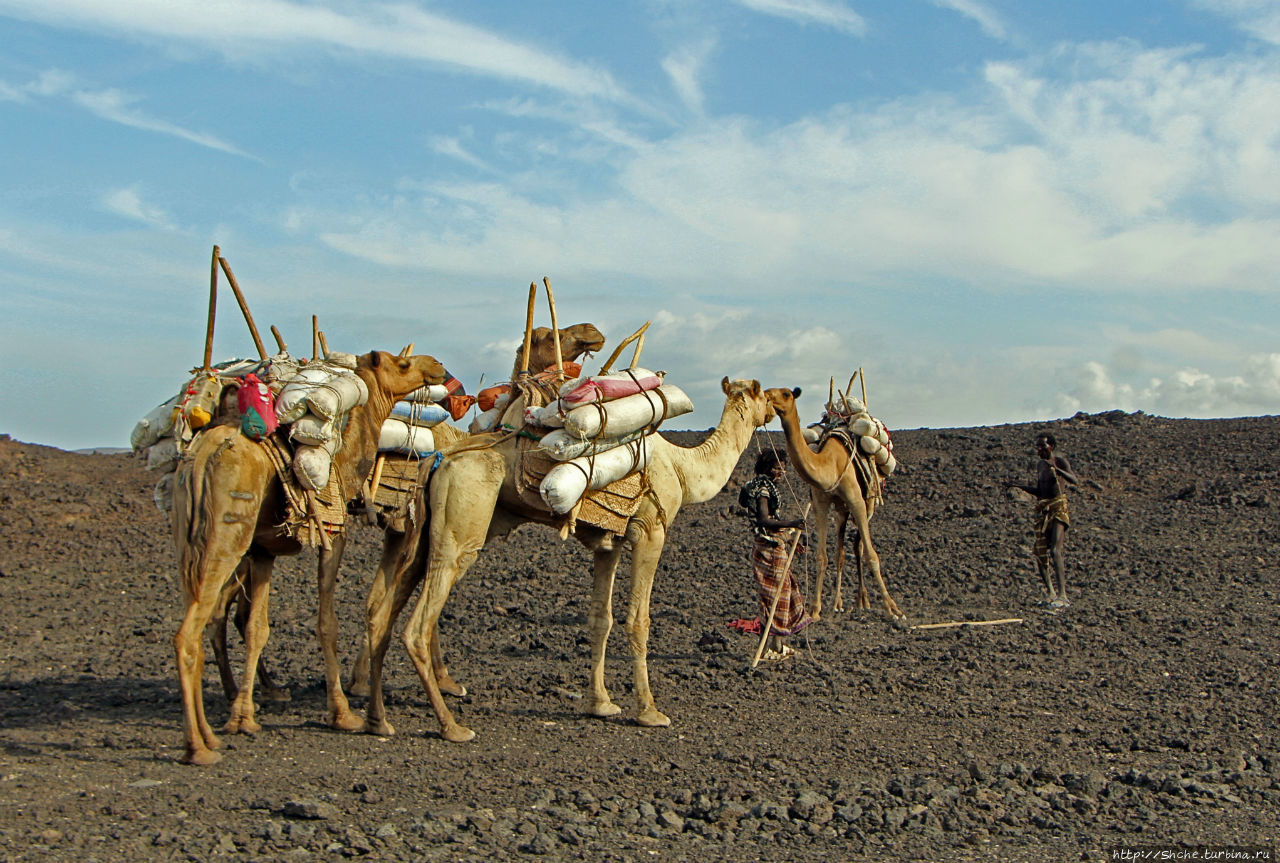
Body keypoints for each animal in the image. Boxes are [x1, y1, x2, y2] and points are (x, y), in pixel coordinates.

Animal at [170, 345, 448, 763]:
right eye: (402, 364)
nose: (438, 365)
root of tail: (201, 456)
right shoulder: (333, 534)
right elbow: (327, 623)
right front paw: (342, 713)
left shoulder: (263, 552)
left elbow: (256, 627)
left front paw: (244, 718)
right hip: (225, 540)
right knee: (188, 634)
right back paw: (197, 748)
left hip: (195, 545)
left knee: (208, 624)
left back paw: (215, 729)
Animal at [363, 373, 778, 737]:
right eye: (765, 394)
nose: (778, 403)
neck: (684, 469)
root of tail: (437, 459)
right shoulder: (649, 531)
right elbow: (638, 620)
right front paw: (649, 711)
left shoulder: (609, 543)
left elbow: (600, 620)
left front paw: (600, 704)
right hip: (461, 527)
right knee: (418, 626)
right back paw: (452, 727)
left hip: (424, 534)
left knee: (382, 611)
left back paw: (377, 720)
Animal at [762, 386, 906, 622]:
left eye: (786, 394)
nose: (765, 397)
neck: (830, 464)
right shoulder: (821, 503)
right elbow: (822, 556)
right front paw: (815, 609)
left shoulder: (856, 501)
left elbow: (872, 555)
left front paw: (893, 609)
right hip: (840, 510)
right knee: (841, 552)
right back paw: (838, 603)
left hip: (868, 504)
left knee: (858, 546)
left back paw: (862, 600)